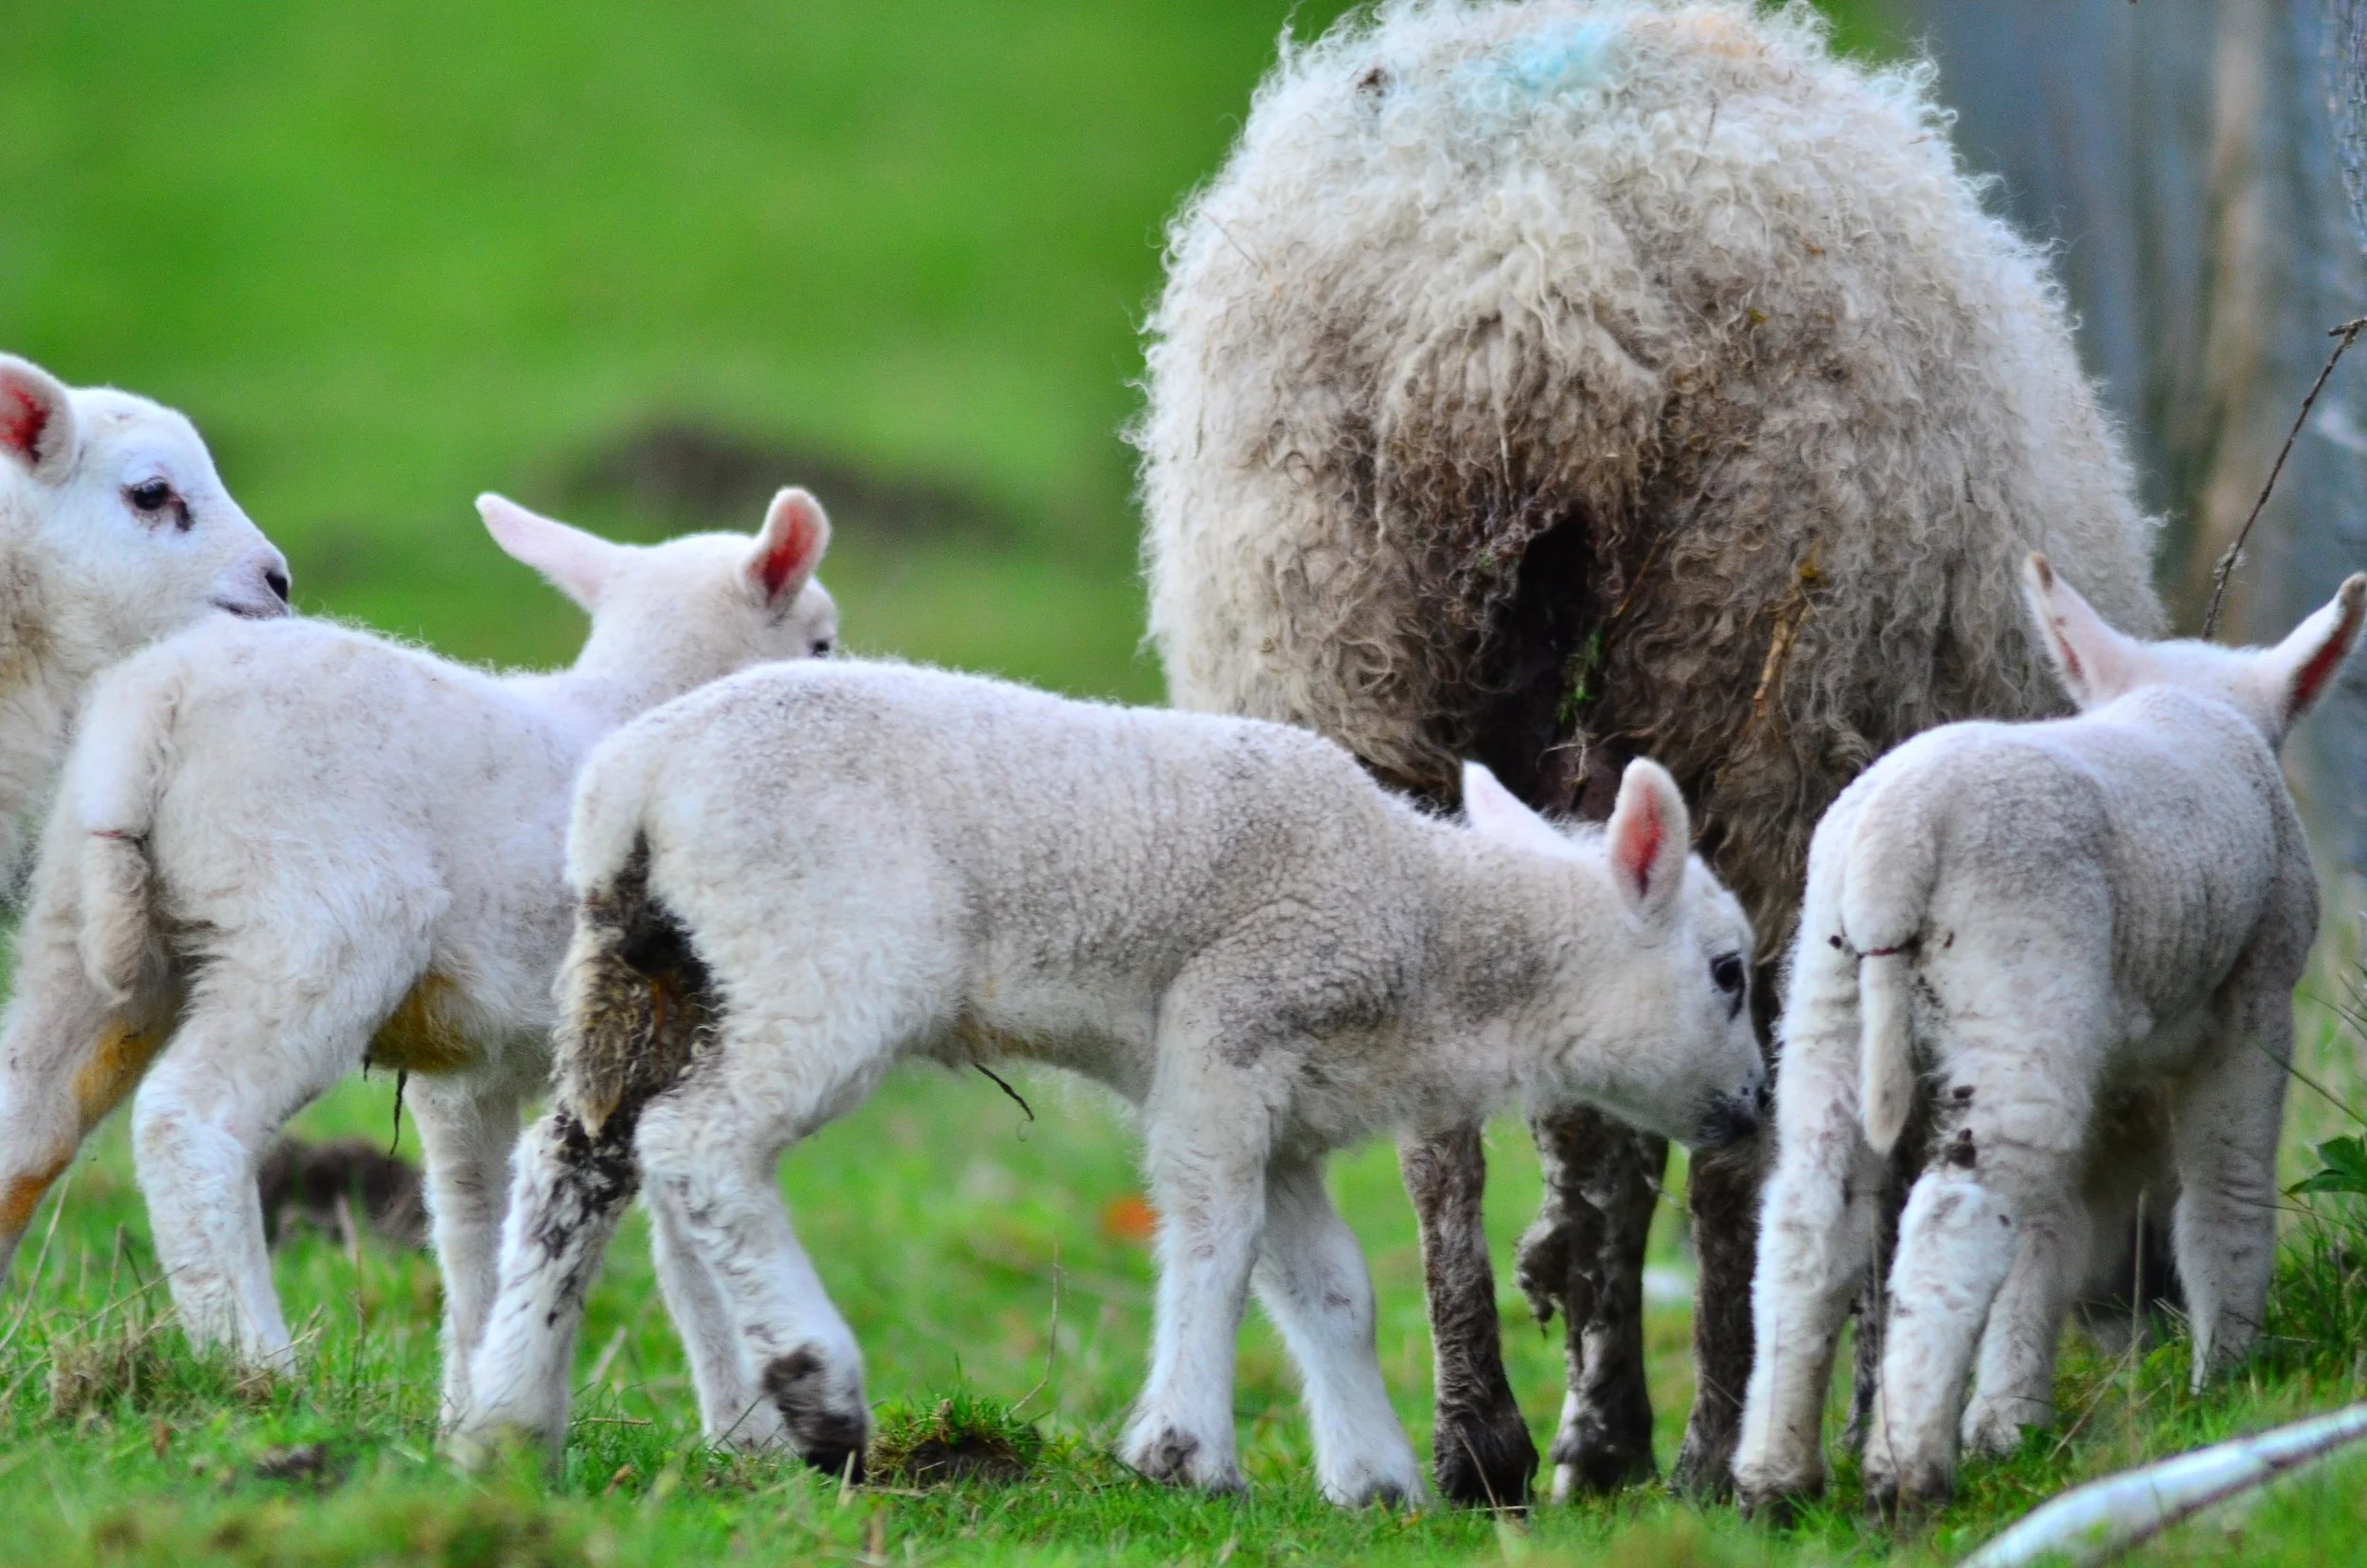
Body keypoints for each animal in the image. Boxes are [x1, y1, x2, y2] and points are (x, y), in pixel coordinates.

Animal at [0, 488, 836, 1422]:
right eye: (821, 643)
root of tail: (156, 704)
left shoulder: (468, 1070)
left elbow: (476, 1225)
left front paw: (472, 1402)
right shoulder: (660, 1029)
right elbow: (683, 1251)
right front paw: (747, 1429)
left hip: (79, 923)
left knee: (30, 1118)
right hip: (317, 926)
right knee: (191, 1119)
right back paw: (255, 1363)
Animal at [449, 658, 1769, 1505]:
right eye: (1729, 973)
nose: (1753, 1108)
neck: (1425, 926)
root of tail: (635, 780)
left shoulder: (1286, 1107)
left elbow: (1327, 1289)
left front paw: (1376, 1479)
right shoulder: (1228, 1027)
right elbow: (1216, 1237)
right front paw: (1186, 1456)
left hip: (650, 965)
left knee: (579, 1156)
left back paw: (506, 1422)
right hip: (825, 953)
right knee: (701, 1143)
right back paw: (815, 1392)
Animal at [1132, 0, 2164, 1501]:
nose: (2143, 1308)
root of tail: (1527, 279)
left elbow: (1590, 1125)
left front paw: (1587, 1383)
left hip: (1339, 654)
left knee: (1439, 1130)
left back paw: (1485, 1438)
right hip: (1759, 688)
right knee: (1746, 1150)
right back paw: (1706, 1448)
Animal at [1733, 557, 2364, 1518]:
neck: (2182, 701)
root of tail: (1897, 844)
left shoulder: (2099, 1058)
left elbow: (2047, 1241)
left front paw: (2009, 1423)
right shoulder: (2256, 998)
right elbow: (2227, 1188)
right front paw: (2226, 1378)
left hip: (1830, 991)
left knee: (1811, 1211)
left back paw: (1775, 1480)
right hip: (2017, 981)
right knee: (1953, 1218)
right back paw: (1905, 1477)